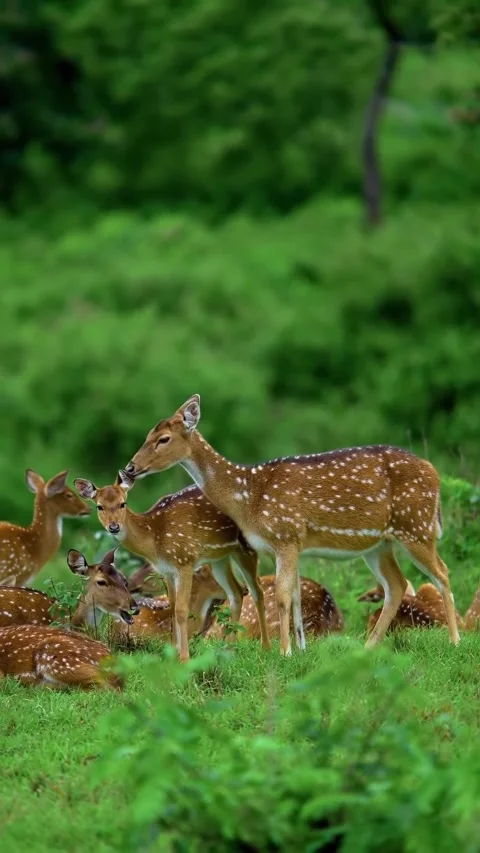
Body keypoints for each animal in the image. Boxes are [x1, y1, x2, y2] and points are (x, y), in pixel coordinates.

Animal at [73, 472, 270, 661]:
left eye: (123, 503)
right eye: (99, 506)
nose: (114, 527)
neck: (154, 537)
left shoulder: (185, 561)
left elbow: (182, 610)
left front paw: (184, 658)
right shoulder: (167, 570)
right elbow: (173, 607)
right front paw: (173, 654)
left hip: (246, 546)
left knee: (257, 590)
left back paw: (265, 648)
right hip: (220, 557)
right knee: (237, 592)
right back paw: (229, 648)